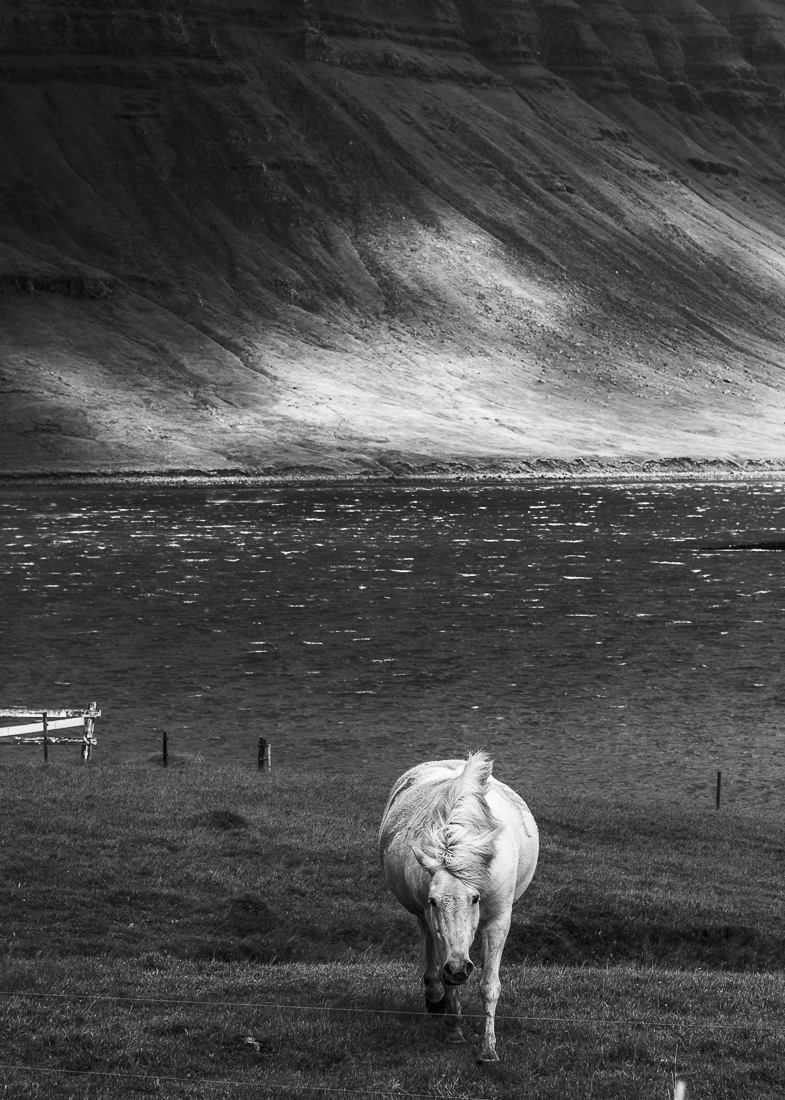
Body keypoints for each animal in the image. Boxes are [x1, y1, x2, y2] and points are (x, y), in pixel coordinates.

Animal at [378, 751, 539, 1063]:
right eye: (434, 900)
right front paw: (453, 1031)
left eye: (475, 898)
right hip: (424, 921)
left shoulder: (499, 920)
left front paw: (488, 1049)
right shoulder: (432, 919)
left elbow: (489, 985)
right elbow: (447, 978)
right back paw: (434, 999)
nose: (459, 968)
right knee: (430, 952)